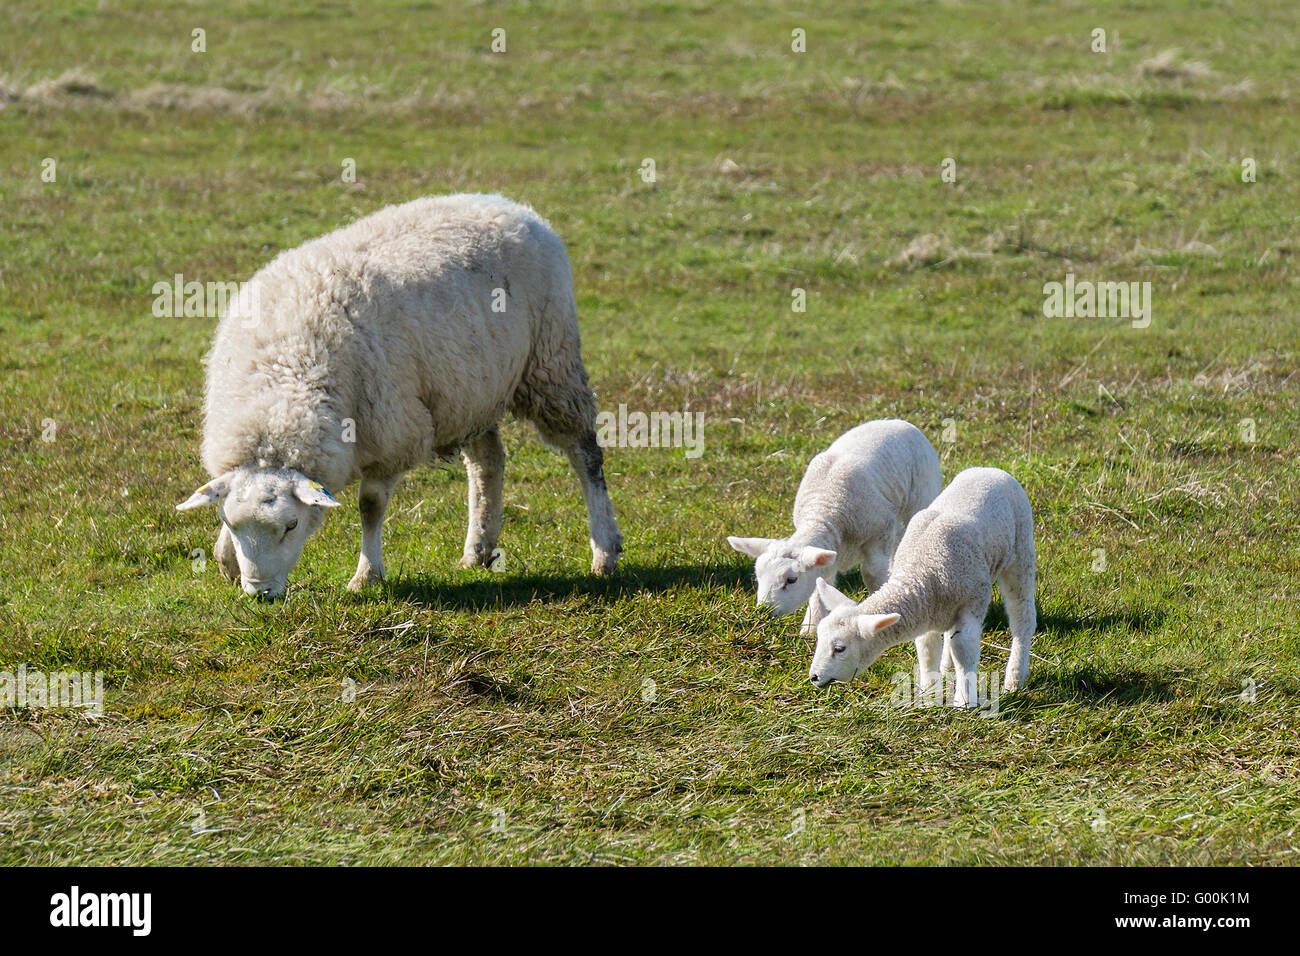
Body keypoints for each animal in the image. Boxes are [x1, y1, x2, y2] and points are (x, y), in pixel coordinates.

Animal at [176, 193, 622, 599]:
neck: (283, 377)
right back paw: (477, 549)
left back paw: (604, 552)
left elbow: (370, 506)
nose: (260, 594)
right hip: (469, 389)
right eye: (232, 524)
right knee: (488, 462)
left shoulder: (391, 434)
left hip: (551, 362)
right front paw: (226, 559)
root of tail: (511, 206)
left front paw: (366, 576)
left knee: (585, 453)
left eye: (291, 525)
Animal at [728, 419, 943, 634]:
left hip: (922, 496)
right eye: (758, 576)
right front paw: (810, 628)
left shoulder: (879, 534)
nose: (763, 612)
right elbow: (820, 583)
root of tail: (899, 422)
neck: (824, 511)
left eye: (791, 580)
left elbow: (872, 575)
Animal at [807, 467, 1036, 707]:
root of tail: (990, 469)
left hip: (1021, 551)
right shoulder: (926, 611)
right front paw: (929, 696)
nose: (814, 677)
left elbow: (963, 649)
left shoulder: (972, 602)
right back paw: (947, 669)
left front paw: (964, 702)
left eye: (839, 649)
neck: (920, 572)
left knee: (1022, 616)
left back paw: (1014, 678)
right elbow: (927, 650)